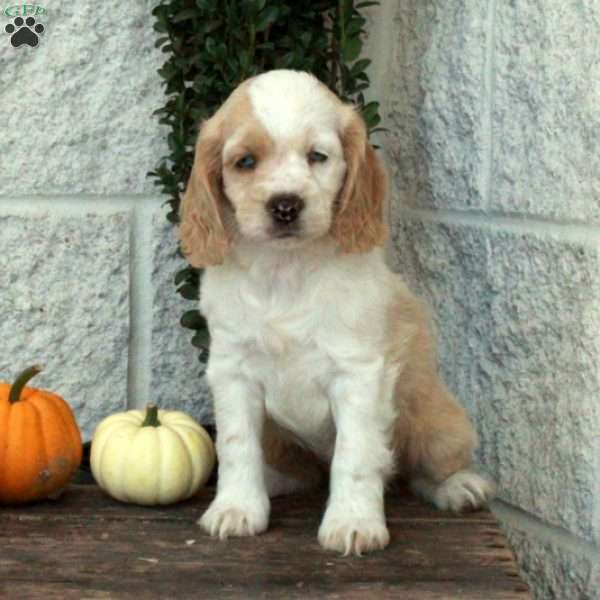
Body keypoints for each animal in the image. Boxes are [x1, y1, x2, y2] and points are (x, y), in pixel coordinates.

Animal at [179, 68, 496, 556]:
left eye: (318, 156)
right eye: (245, 162)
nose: (285, 206)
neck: (285, 270)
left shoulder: (358, 372)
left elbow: (357, 453)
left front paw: (353, 522)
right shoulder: (233, 371)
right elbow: (236, 445)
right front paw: (236, 508)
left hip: (436, 423)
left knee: (420, 468)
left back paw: (459, 487)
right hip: (281, 440)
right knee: (300, 472)